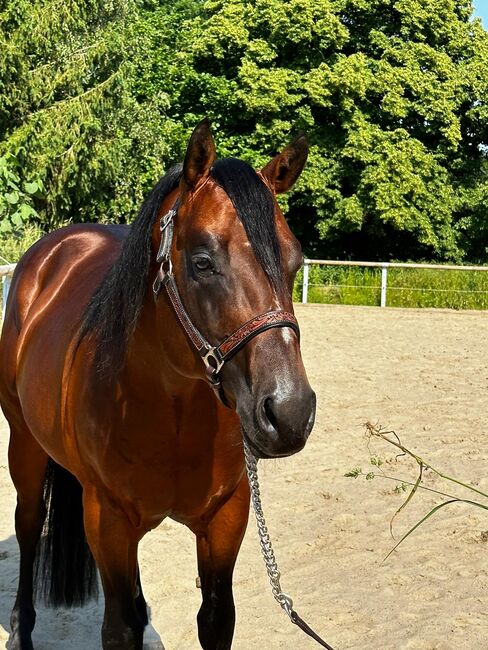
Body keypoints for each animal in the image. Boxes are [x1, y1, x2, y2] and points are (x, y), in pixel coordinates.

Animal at [0, 119, 316, 644]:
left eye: (293, 263)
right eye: (202, 261)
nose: (290, 413)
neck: (172, 405)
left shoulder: (225, 517)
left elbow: (214, 619)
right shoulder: (107, 520)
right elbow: (118, 628)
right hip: (24, 444)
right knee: (28, 526)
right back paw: (22, 629)